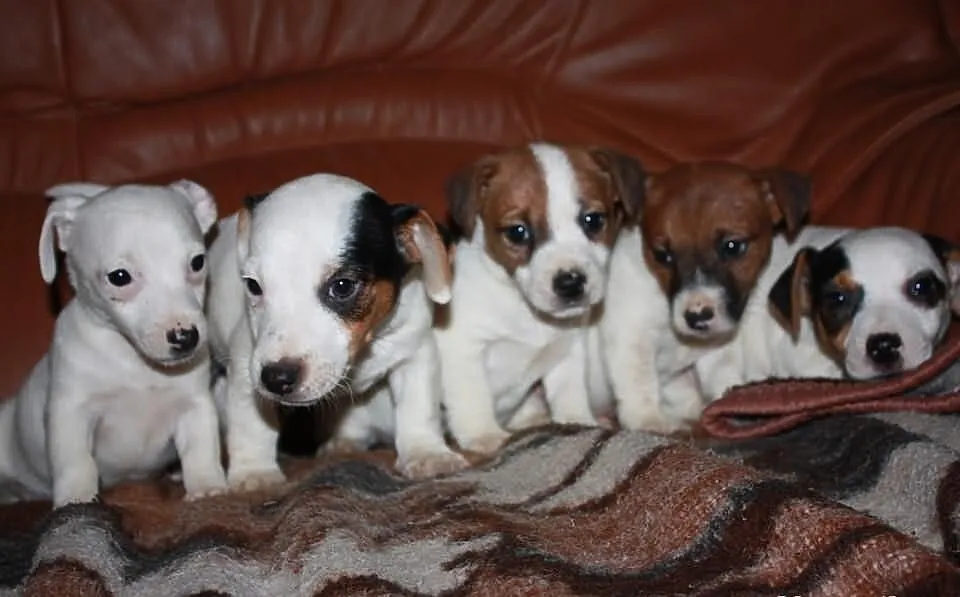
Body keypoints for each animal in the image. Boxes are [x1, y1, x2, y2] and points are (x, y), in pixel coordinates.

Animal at [0, 181, 227, 507]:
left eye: (198, 262)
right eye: (119, 277)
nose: (186, 337)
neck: (133, 362)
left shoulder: (193, 407)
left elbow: (201, 449)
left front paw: (207, 486)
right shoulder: (71, 412)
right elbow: (76, 462)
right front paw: (77, 499)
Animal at [206, 173, 468, 488]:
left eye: (342, 286)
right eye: (253, 286)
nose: (277, 378)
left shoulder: (415, 351)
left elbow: (418, 407)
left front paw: (426, 452)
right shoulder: (247, 361)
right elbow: (251, 423)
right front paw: (254, 471)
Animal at [435, 143, 645, 455]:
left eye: (593, 220)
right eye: (517, 232)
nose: (570, 282)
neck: (523, 309)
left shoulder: (566, 352)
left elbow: (569, 395)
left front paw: (577, 422)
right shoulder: (461, 348)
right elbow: (472, 398)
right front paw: (484, 436)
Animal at [601, 161, 851, 434]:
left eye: (732, 246)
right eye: (663, 256)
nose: (696, 316)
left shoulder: (715, 350)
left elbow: (719, 378)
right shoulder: (631, 337)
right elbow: (639, 383)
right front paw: (649, 419)